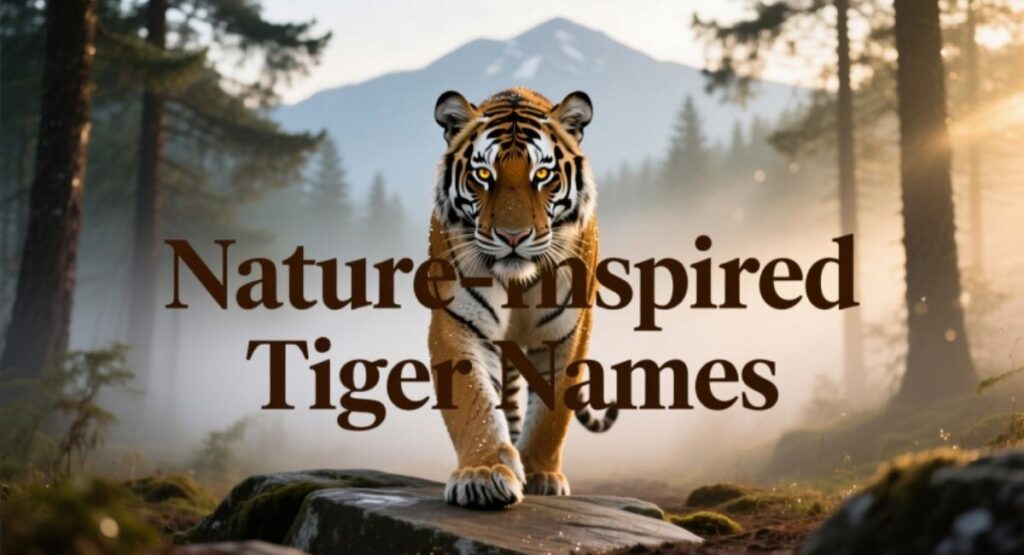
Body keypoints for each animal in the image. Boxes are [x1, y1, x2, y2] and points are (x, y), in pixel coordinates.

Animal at [427, 87, 618, 509]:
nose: (512, 236)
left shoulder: (568, 330)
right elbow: (474, 402)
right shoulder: (459, 321)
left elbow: (551, 414)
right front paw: (482, 473)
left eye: (542, 174)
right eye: (484, 174)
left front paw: (542, 475)